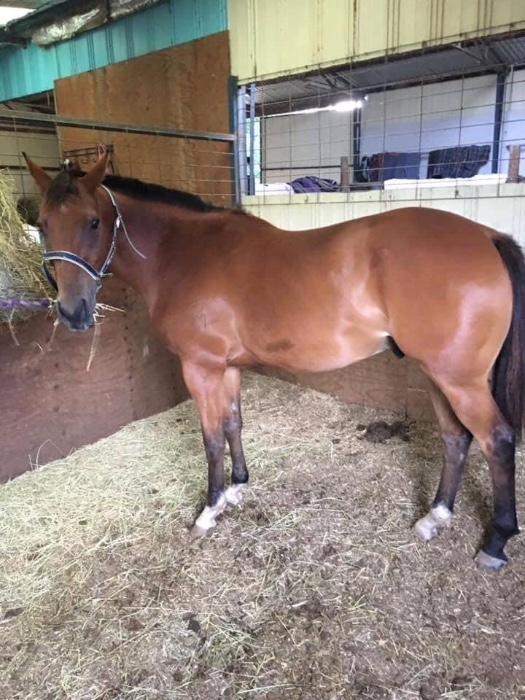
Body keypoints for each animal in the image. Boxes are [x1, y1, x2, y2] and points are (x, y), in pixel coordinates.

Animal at [24, 150, 523, 571]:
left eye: (93, 222)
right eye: (43, 223)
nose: (72, 312)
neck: (182, 254)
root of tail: (486, 235)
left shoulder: (201, 368)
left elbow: (210, 439)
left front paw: (210, 509)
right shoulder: (226, 368)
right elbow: (233, 424)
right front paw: (239, 486)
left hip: (459, 380)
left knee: (496, 441)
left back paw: (496, 542)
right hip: (437, 375)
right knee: (455, 439)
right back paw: (435, 517)